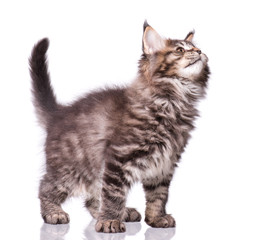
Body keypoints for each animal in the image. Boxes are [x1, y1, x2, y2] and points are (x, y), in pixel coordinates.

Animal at [29, 22, 209, 232]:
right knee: (46, 186)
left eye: (197, 48)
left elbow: (158, 195)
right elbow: (114, 193)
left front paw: (156, 218)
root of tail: (59, 113)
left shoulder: (164, 163)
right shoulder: (119, 158)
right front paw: (109, 221)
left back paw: (121, 212)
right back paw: (54, 213)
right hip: (72, 168)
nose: (199, 52)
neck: (173, 101)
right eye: (180, 50)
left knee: (91, 199)